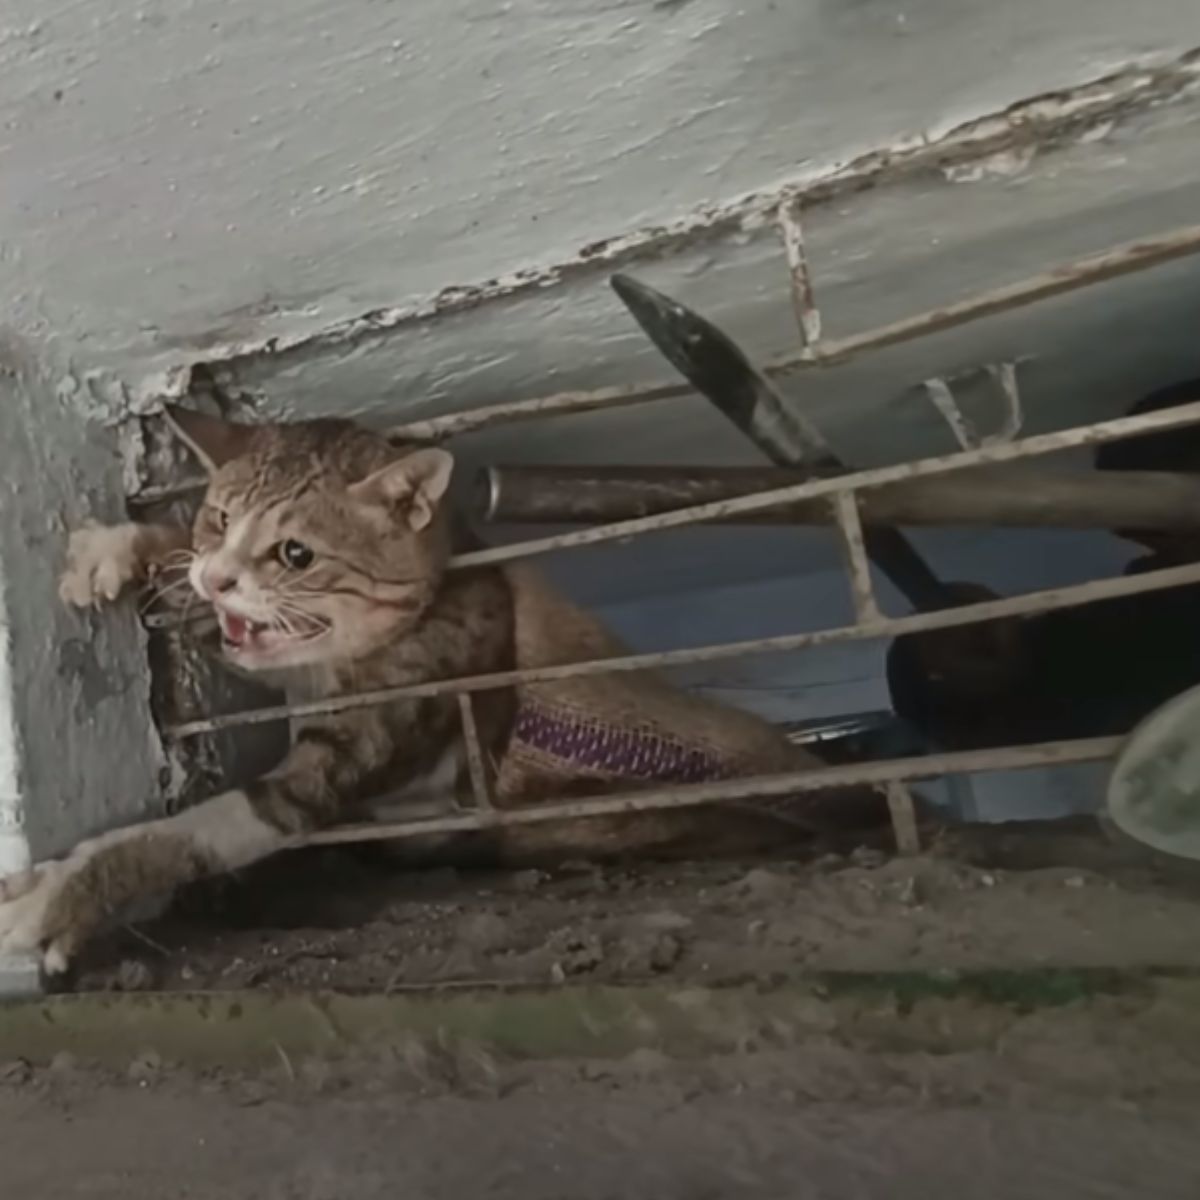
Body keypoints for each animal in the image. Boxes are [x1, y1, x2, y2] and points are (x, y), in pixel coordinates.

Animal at [0, 408, 868, 969]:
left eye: (296, 553)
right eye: (216, 516)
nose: (217, 576)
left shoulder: (390, 712)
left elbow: (210, 826)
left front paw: (62, 897)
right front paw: (123, 549)